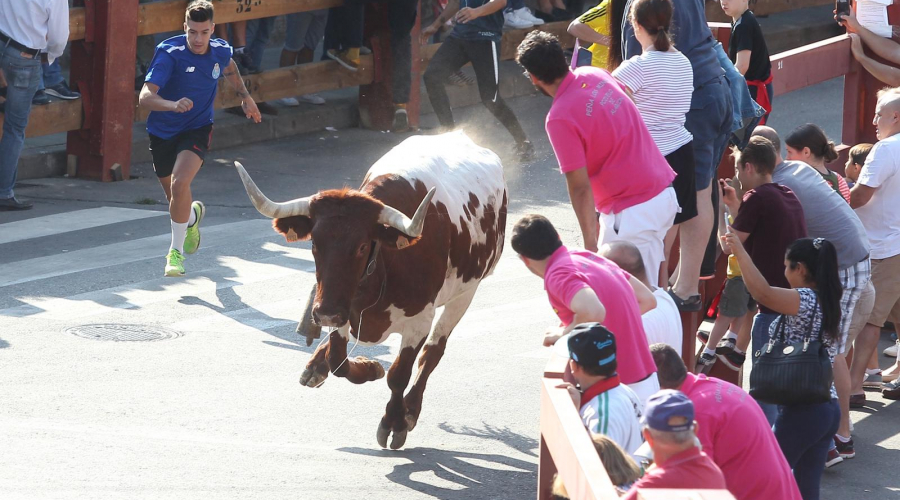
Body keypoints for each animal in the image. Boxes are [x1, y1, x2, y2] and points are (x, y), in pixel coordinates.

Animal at [236, 132, 510, 450]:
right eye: (314, 243)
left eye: (362, 246)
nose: (325, 313)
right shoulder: (342, 311)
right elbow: (339, 361)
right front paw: (367, 368)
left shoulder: (419, 320)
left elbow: (399, 374)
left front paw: (394, 423)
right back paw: (316, 365)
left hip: (466, 292)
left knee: (433, 351)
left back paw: (411, 410)